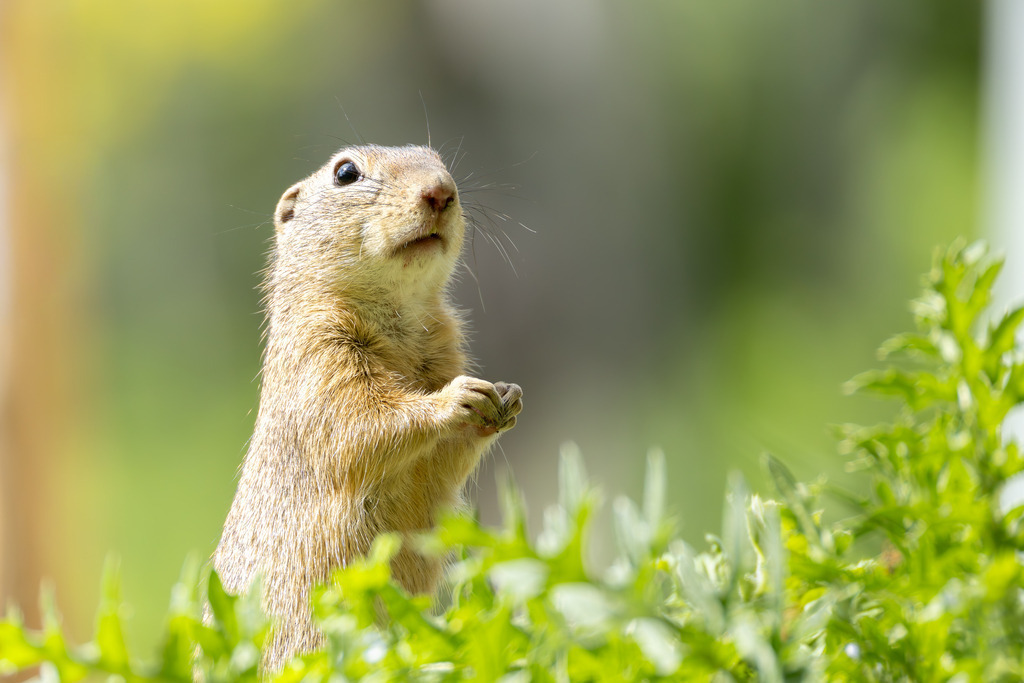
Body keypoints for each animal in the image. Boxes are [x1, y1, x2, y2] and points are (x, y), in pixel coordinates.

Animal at [212, 144, 523, 670]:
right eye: (345, 173)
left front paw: (505, 396)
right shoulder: (318, 358)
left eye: (438, 159)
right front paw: (455, 399)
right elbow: (358, 426)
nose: (441, 190)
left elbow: (444, 463)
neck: (398, 317)